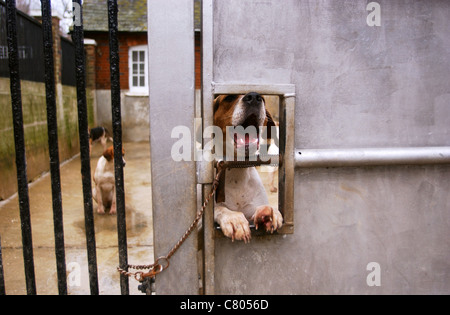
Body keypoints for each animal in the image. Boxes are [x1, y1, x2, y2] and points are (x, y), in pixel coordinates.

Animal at [214, 92, 284, 243]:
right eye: (229, 97)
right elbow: (220, 209)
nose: (254, 97)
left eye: (262, 98)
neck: (236, 170)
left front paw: (270, 211)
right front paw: (234, 219)